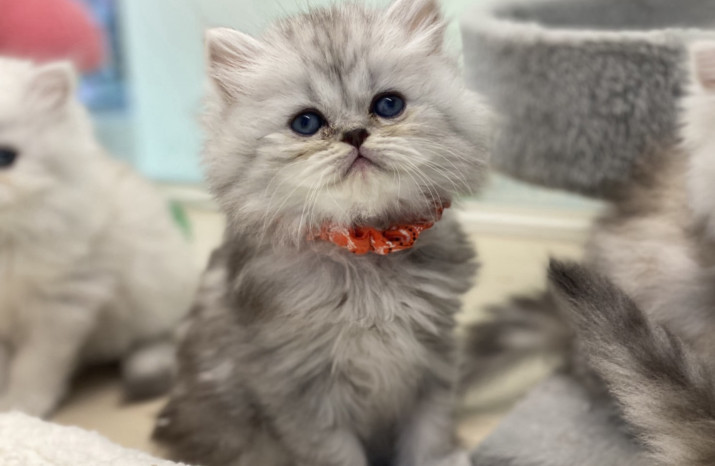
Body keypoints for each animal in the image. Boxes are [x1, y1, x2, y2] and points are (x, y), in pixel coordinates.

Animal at [0, 57, 198, 416]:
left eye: (6, 157)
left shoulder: (63, 302)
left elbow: (35, 366)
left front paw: (21, 407)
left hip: (156, 296)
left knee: (160, 338)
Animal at [152, 1, 491, 465]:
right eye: (307, 123)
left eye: (388, 105)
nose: (355, 134)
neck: (366, 252)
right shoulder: (302, 394)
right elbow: (338, 454)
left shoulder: (433, 365)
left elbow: (429, 441)